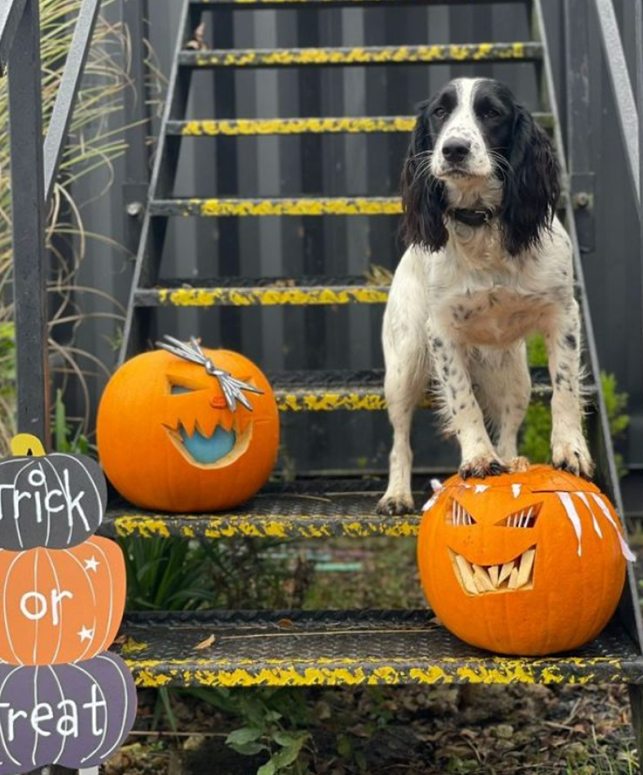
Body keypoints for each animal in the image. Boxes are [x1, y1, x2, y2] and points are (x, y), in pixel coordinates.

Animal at [378, 77, 592, 516]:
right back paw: (397, 494)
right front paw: (477, 457)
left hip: (515, 378)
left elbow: (564, 389)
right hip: (403, 368)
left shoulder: (563, 314)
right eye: (439, 112)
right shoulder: (442, 332)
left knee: (508, 428)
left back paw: (511, 463)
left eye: (492, 112)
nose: (454, 150)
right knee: (400, 440)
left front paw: (570, 450)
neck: (482, 225)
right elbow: (463, 402)